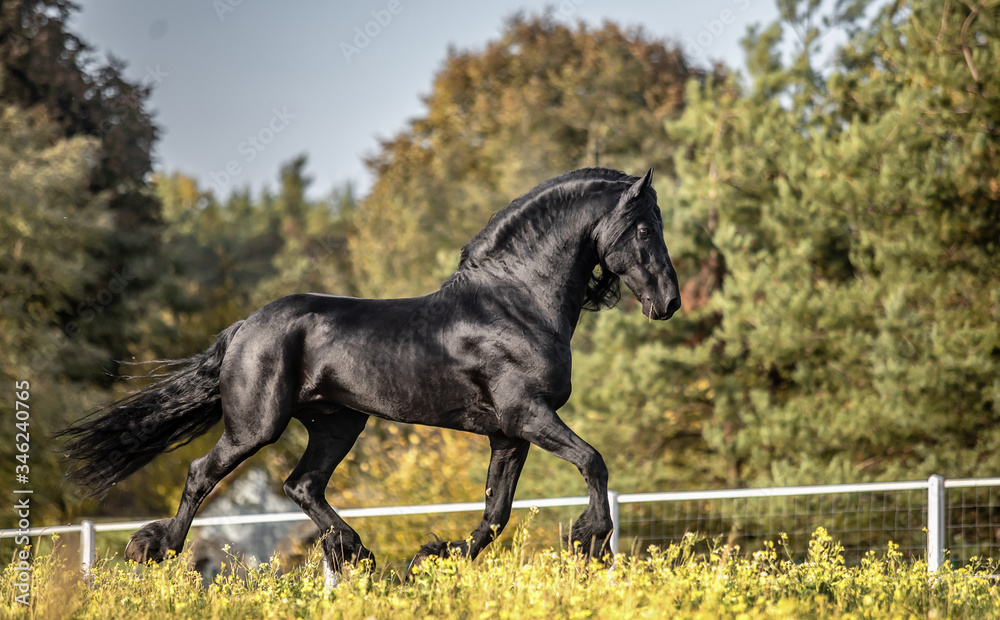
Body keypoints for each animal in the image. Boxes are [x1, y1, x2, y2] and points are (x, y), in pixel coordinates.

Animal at [57, 167, 681, 575]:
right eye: (644, 229)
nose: (669, 303)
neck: (516, 300)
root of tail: (246, 327)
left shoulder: (510, 433)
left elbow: (496, 512)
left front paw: (433, 560)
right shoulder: (528, 415)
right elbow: (593, 462)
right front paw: (589, 541)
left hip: (338, 422)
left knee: (302, 484)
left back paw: (356, 551)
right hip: (257, 426)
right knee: (201, 473)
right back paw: (155, 549)